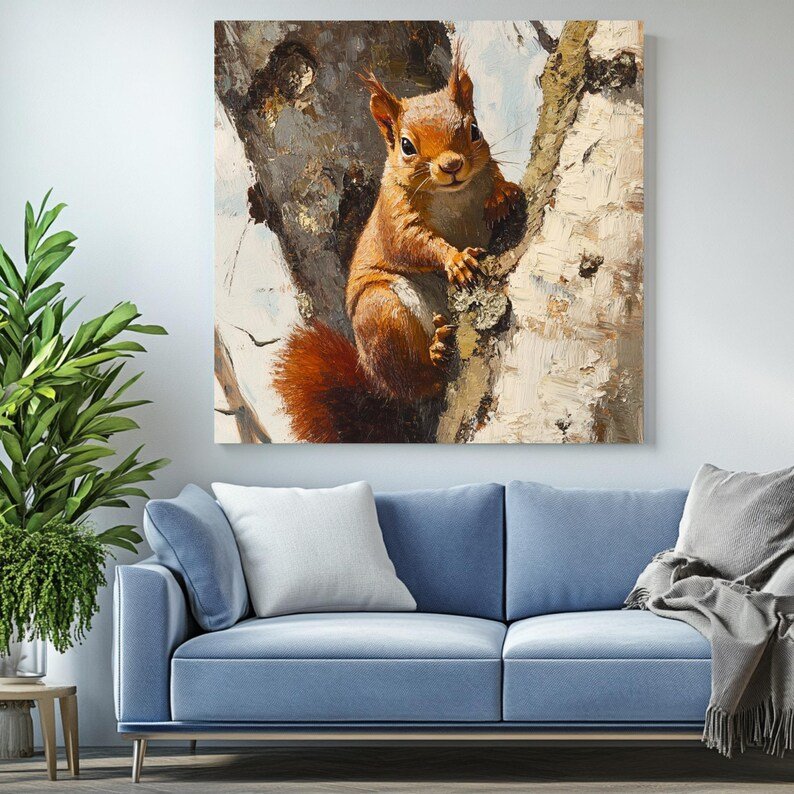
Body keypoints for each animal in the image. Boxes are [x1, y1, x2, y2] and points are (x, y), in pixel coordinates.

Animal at [273, 50, 521, 442]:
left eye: (474, 130)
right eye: (407, 146)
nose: (452, 165)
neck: (453, 195)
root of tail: (375, 382)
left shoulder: (486, 172)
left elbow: (497, 183)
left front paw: (503, 195)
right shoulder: (394, 215)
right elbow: (412, 243)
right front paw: (455, 259)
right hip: (381, 314)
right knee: (417, 383)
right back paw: (436, 354)